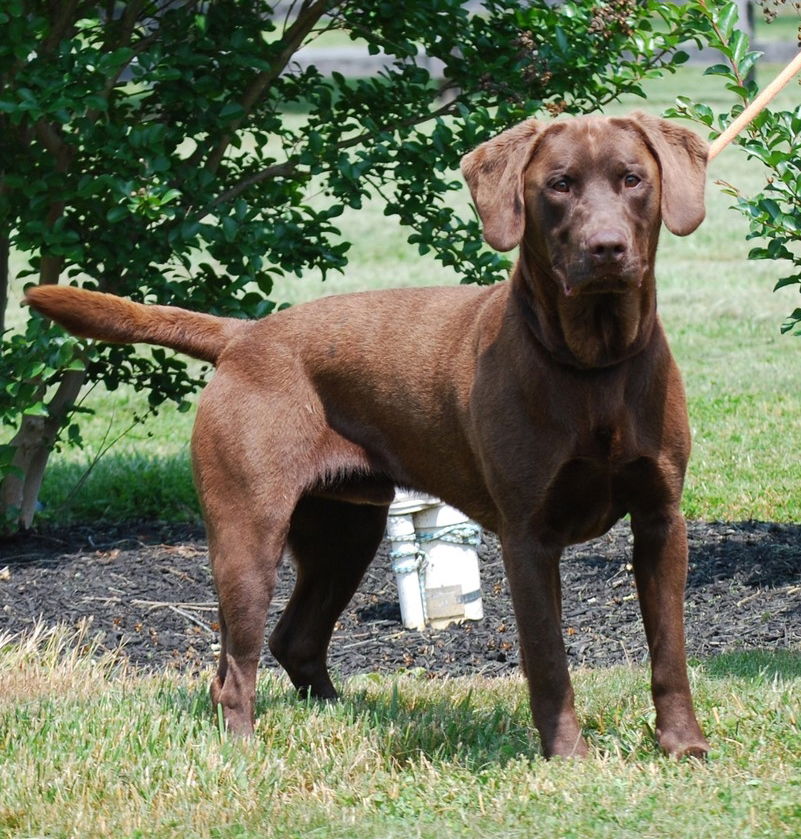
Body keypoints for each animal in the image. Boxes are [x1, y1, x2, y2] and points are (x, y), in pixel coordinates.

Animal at [28, 111, 708, 760]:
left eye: (632, 179)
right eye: (559, 185)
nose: (607, 248)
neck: (594, 367)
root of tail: (242, 335)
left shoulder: (660, 520)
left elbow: (670, 652)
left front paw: (683, 745)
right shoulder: (528, 537)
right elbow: (548, 663)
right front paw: (568, 757)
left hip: (343, 531)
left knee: (294, 639)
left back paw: (340, 714)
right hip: (248, 532)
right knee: (234, 670)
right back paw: (245, 752)